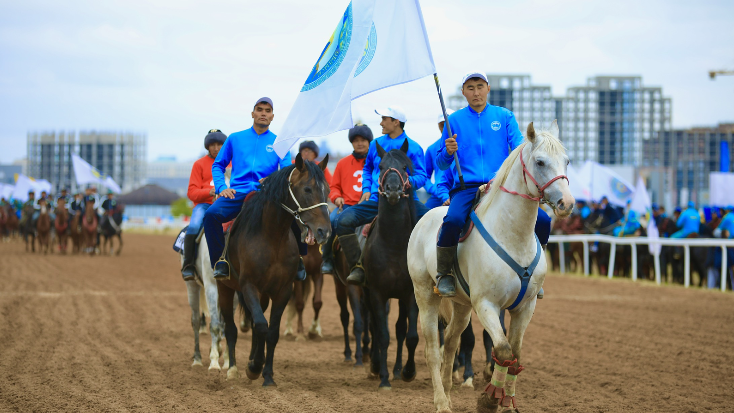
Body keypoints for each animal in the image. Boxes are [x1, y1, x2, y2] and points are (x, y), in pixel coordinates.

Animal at [217, 153, 332, 384]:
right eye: (308, 189)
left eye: (328, 190)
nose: (324, 231)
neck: (272, 238)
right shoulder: (249, 286)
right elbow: (262, 326)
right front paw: (254, 367)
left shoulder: (283, 290)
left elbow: (271, 332)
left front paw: (267, 374)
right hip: (225, 289)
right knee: (232, 329)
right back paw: (233, 369)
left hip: (262, 294)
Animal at [408, 120, 576, 410]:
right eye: (540, 162)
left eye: (566, 161)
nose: (567, 203)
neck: (512, 237)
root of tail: (426, 218)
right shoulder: (486, 304)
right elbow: (504, 351)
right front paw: (488, 400)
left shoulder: (525, 306)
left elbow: (516, 356)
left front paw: (507, 402)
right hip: (425, 295)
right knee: (432, 350)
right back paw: (441, 402)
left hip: (462, 306)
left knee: (450, 342)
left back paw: (450, 394)